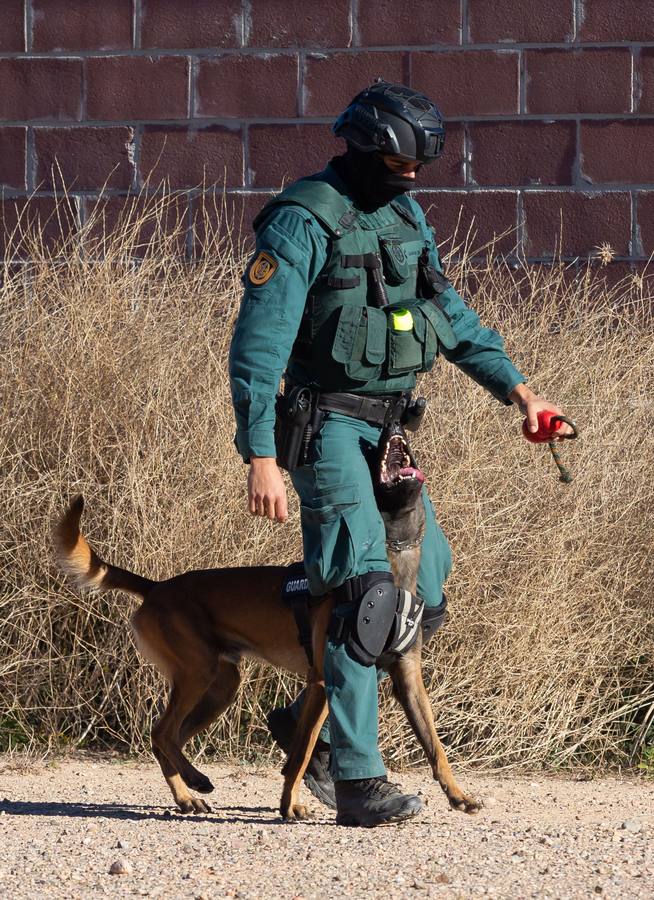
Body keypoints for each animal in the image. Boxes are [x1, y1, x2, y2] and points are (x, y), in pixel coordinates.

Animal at [56, 426, 482, 820]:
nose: (391, 428)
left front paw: (459, 795)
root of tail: (157, 587)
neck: (393, 566)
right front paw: (290, 805)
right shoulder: (325, 681)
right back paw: (190, 788)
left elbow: (435, 746)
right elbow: (300, 753)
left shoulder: (407, 678)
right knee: (161, 733)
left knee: (169, 737)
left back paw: (190, 789)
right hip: (198, 673)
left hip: (221, 686)